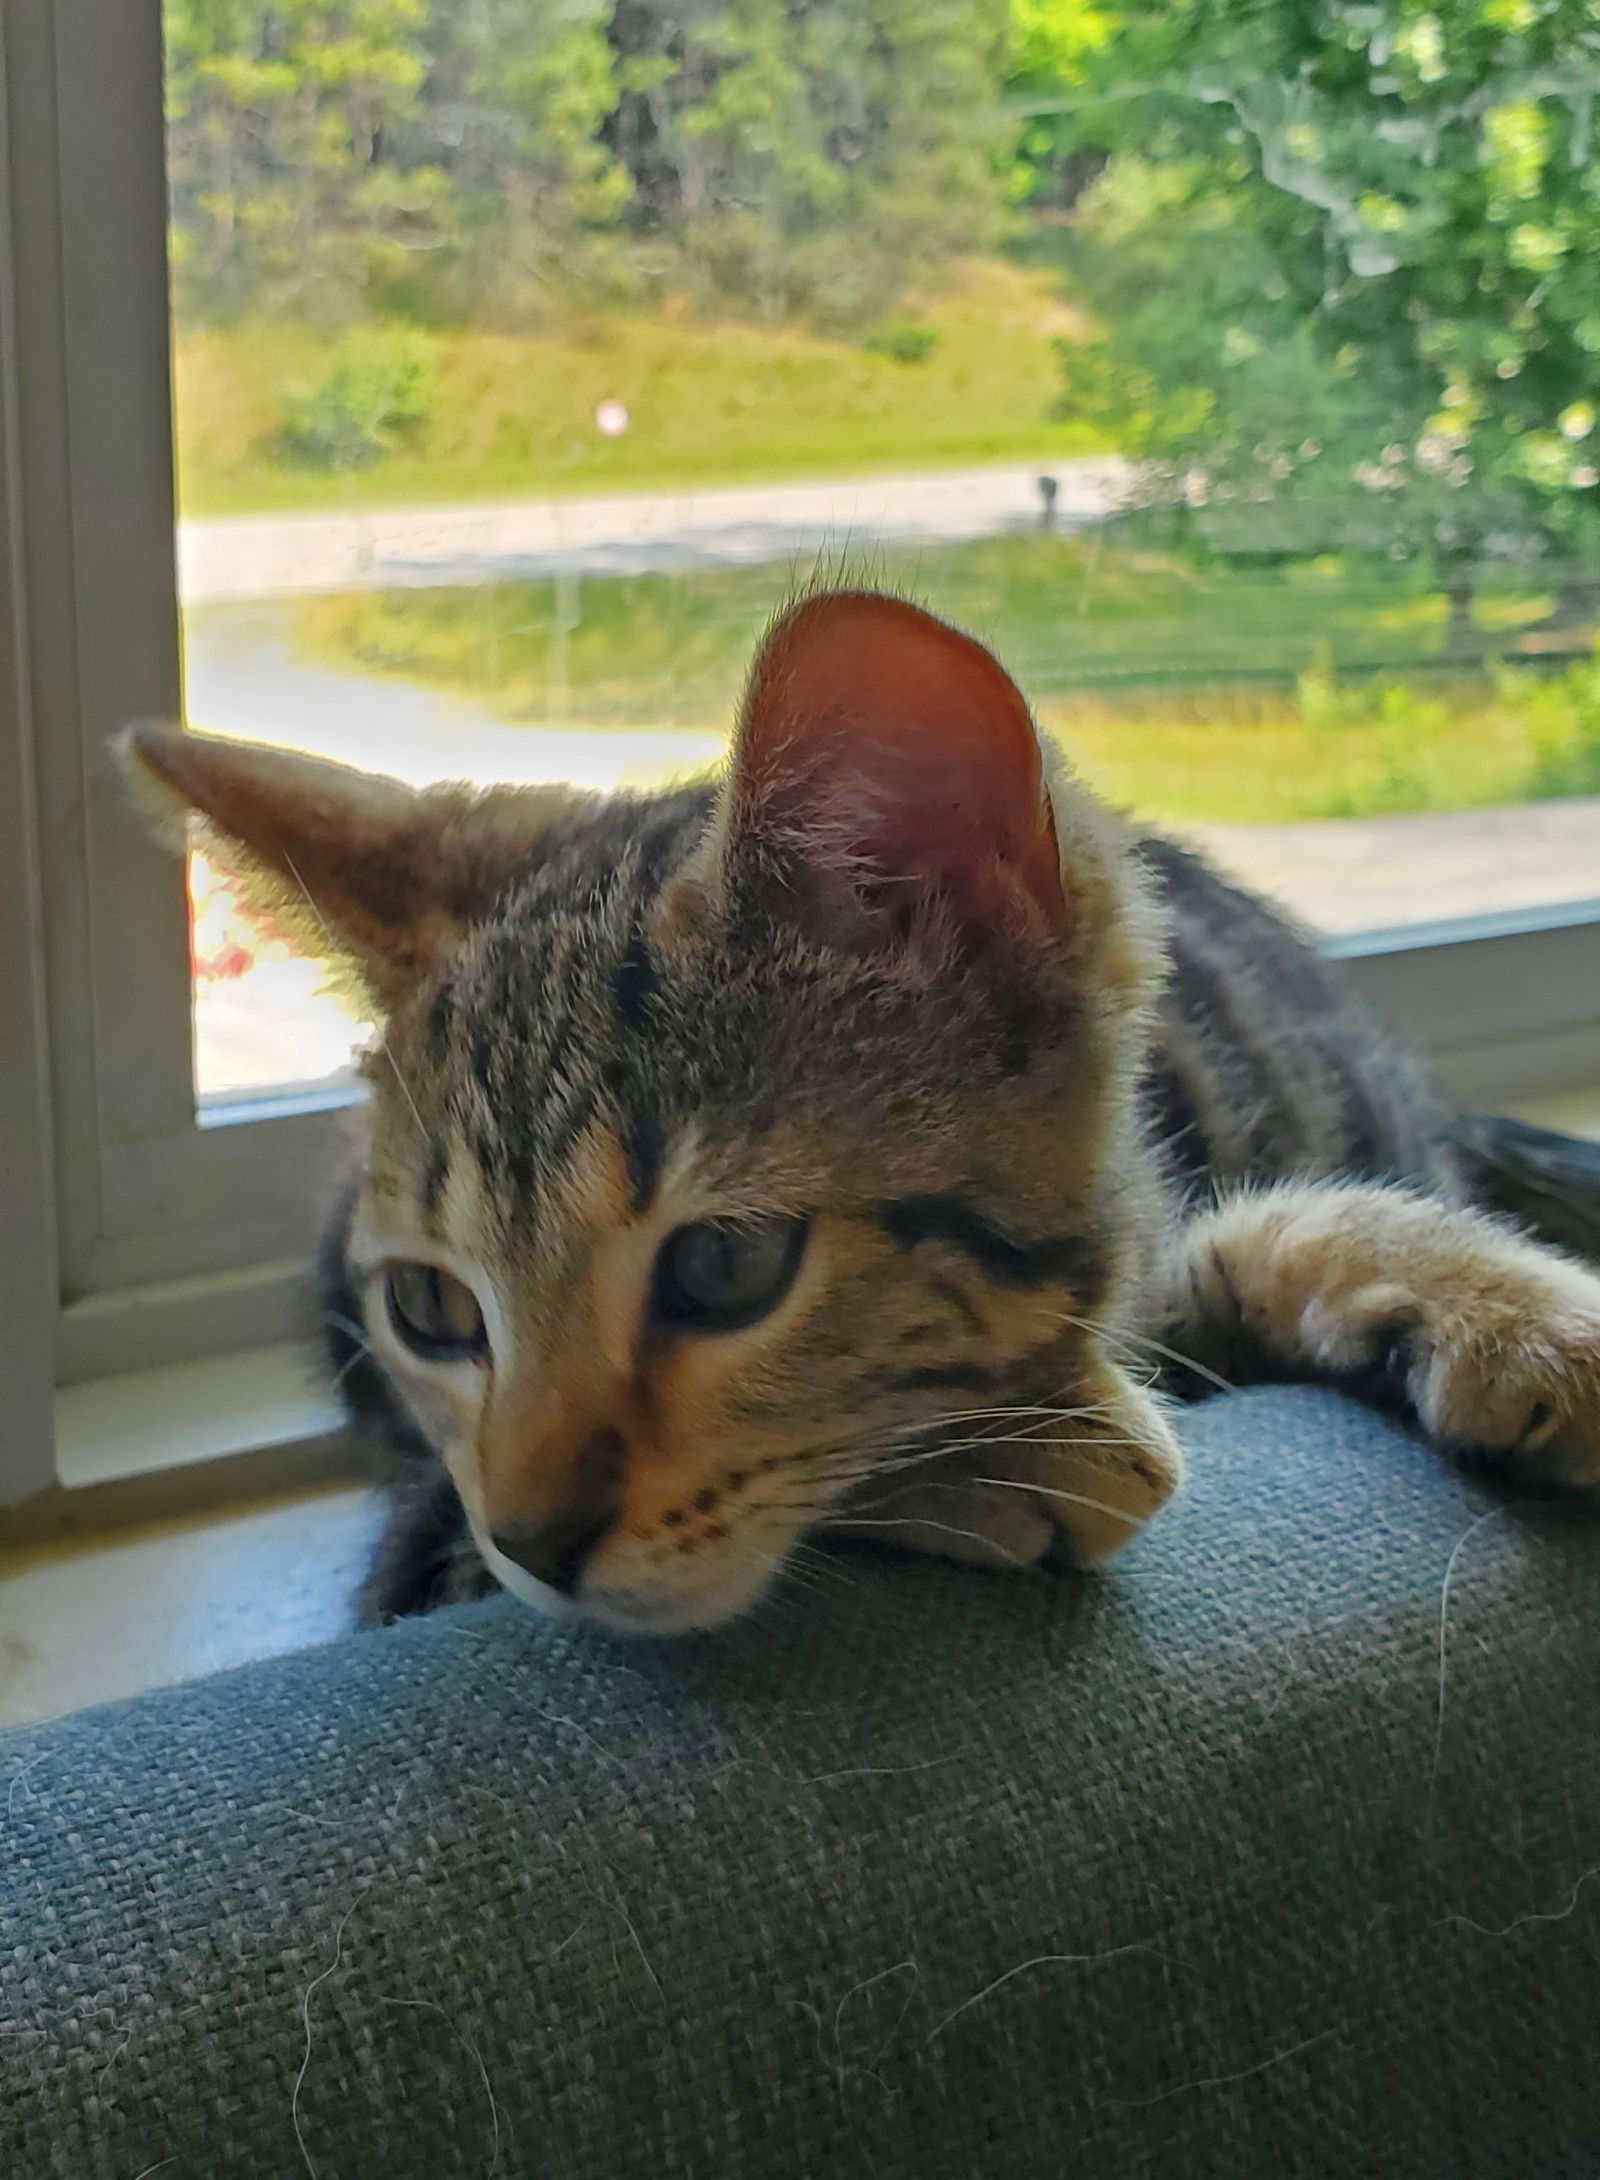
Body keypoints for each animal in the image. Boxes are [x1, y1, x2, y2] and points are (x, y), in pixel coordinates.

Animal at [125, 588, 1600, 1630]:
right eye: (431, 1308)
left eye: (725, 1266)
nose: (534, 1541)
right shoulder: (431, 1544)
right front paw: (1015, 1464)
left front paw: (1507, 1304)